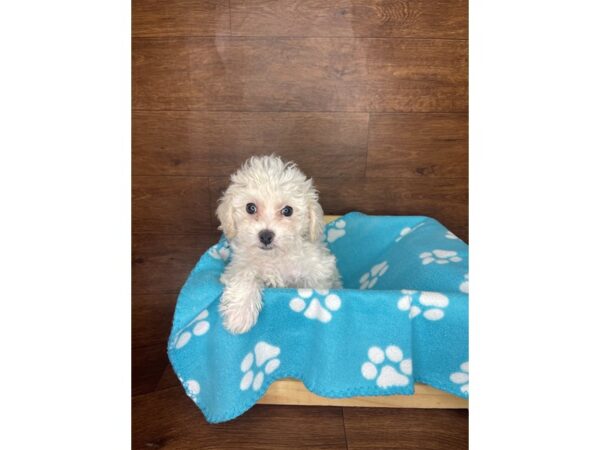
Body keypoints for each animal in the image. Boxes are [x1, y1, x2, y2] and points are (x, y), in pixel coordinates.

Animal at [216, 156, 340, 334]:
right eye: (250, 208)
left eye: (287, 210)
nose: (266, 236)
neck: (274, 257)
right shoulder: (238, 266)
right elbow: (245, 275)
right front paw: (239, 315)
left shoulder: (317, 272)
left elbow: (315, 286)